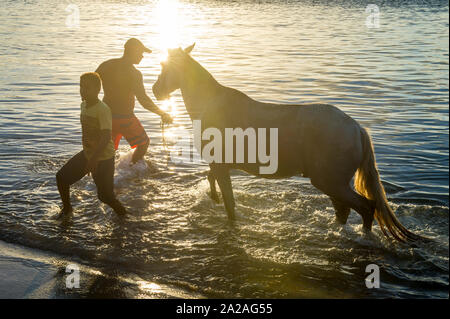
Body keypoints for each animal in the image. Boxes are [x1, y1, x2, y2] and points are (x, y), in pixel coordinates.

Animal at [153, 43, 420, 241]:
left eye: (165, 66)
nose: (155, 91)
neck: (213, 105)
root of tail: (357, 129)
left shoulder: (221, 167)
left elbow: (230, 205)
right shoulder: (221, 166)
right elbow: (211, 181)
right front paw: (213, 196)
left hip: (331, 183)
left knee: (366, 208)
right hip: (335, 185)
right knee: (346, 211)